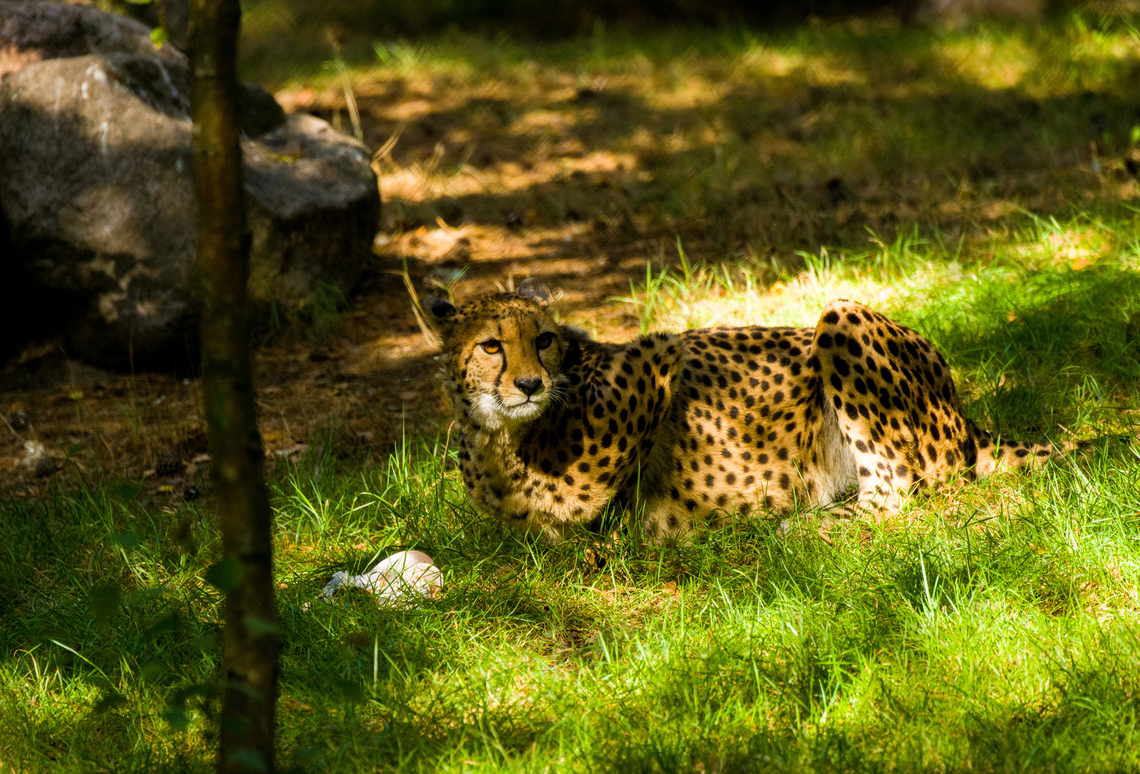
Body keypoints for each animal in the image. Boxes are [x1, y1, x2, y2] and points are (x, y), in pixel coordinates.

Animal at [424, 278, 1069, 543]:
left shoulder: (660, 354)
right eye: (492, 345)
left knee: (893, 496)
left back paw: (797, 525)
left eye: (545, 340)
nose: (531, 383)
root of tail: (961, 411)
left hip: (840, 318)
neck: (498, 439)